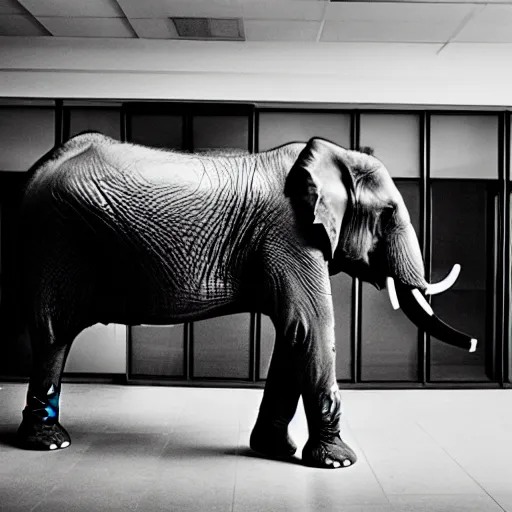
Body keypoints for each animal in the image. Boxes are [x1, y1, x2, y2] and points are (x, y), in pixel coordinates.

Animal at [13, 131, 476, 468]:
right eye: (389, 214)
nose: (474, 343)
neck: (333, 157)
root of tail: (38, 169)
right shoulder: (290, 234)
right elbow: (310, 326)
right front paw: (339, 463)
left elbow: (293, 334)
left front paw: (274, 451)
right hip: (59, 240)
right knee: (54, 330)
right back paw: (49, 445)